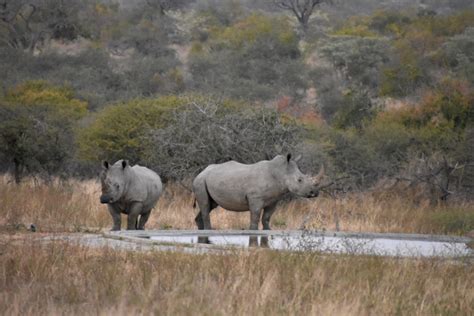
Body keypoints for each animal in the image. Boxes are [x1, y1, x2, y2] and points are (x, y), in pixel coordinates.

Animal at [192, 153, 322, 230]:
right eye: (300, 180)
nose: (314, 193)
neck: (280, 172)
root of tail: (201, 172)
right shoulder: (255, 198)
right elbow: (255, 217)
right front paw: (253, 230)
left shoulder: (273, 200)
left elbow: (267, 217)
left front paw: (268, 230)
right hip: (200, 181)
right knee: (205, 205)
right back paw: (208, 230)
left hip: (206, 180)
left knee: (210, 205)